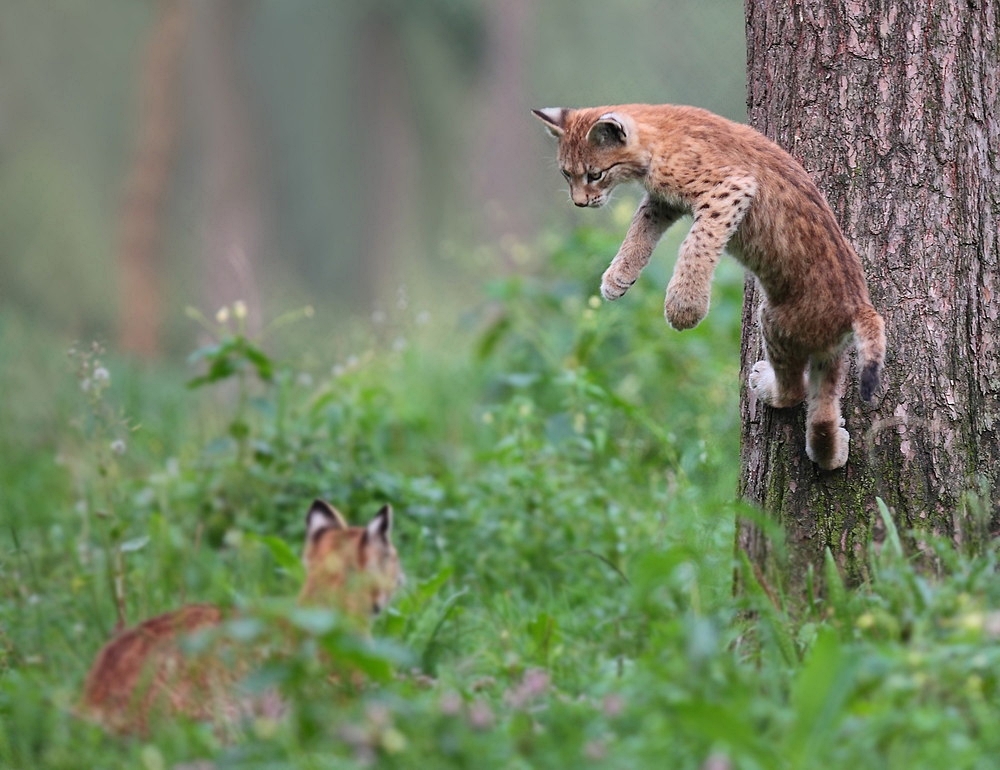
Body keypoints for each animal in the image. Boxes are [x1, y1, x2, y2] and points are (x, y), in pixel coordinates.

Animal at [536, 102, 888, 468]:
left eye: (595, 174)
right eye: (566, 174)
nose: (580, 203)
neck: (654, 133)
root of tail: (859, 304)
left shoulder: (730, 186)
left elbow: (698, 241)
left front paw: (684, 307)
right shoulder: (664, 200)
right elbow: (640, 226)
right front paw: (617, 278)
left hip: (775, 320)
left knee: (795, 391)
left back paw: (766, 385)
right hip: (827, 352)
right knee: (821, 410)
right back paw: (833, 454)